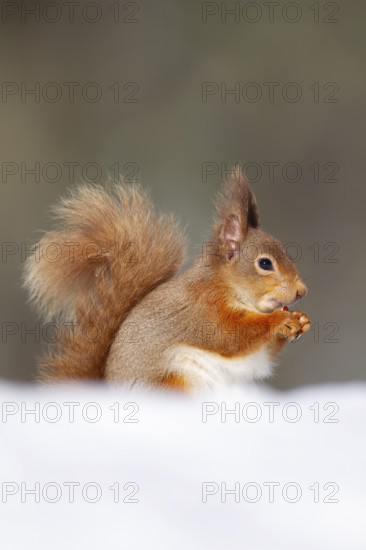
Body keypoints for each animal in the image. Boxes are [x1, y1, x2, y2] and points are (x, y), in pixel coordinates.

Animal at [25, 168, 308, 392]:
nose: (302, 291)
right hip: (174, 383)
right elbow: (229, 336)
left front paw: (301, 320)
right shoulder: (202, 309)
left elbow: (259, 356)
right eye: (265, 263)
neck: (227, 286)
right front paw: (278, 320)